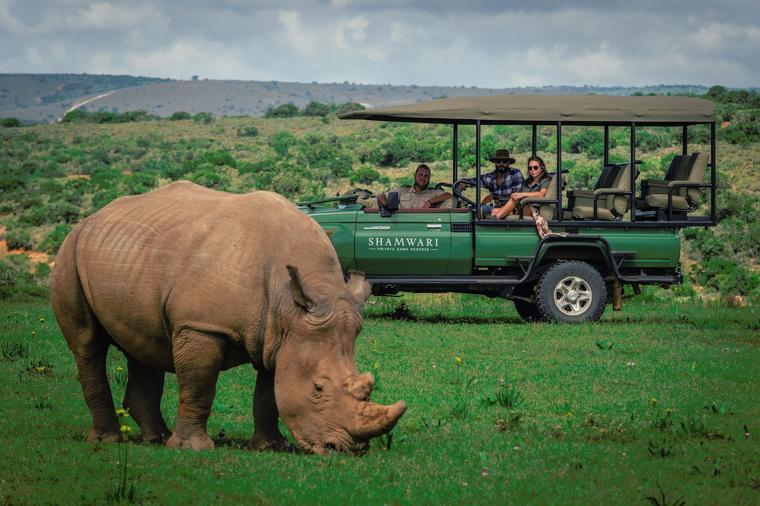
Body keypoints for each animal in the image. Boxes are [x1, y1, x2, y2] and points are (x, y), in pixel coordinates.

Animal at [51, 181, 405, 454]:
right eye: (318, 388)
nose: (347, 449)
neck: (290, 306)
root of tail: (93, 217)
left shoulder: (281, 335)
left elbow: (269, 394)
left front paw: (270, 447)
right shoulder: (202, 326)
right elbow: (199, 386)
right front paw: (193, 449)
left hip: (131, 256)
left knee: (143, 343)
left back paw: (156, 439)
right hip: (70, 253)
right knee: (87, 344)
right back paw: (109, 440)